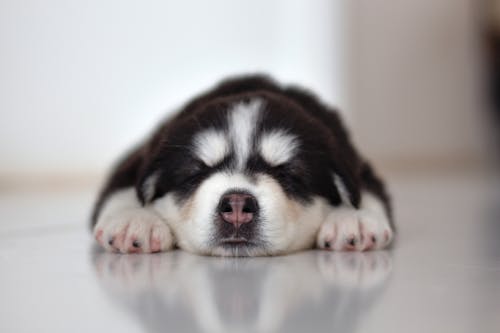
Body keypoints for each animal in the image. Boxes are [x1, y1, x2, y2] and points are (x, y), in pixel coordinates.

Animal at [91, 75, 394, 255]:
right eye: (196, 172)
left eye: (288, 173)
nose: (237, 206)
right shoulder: (136, 162)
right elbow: (123, 189)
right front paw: (134, 220)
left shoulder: (355, 162)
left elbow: (367, 191)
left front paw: (354, 219)